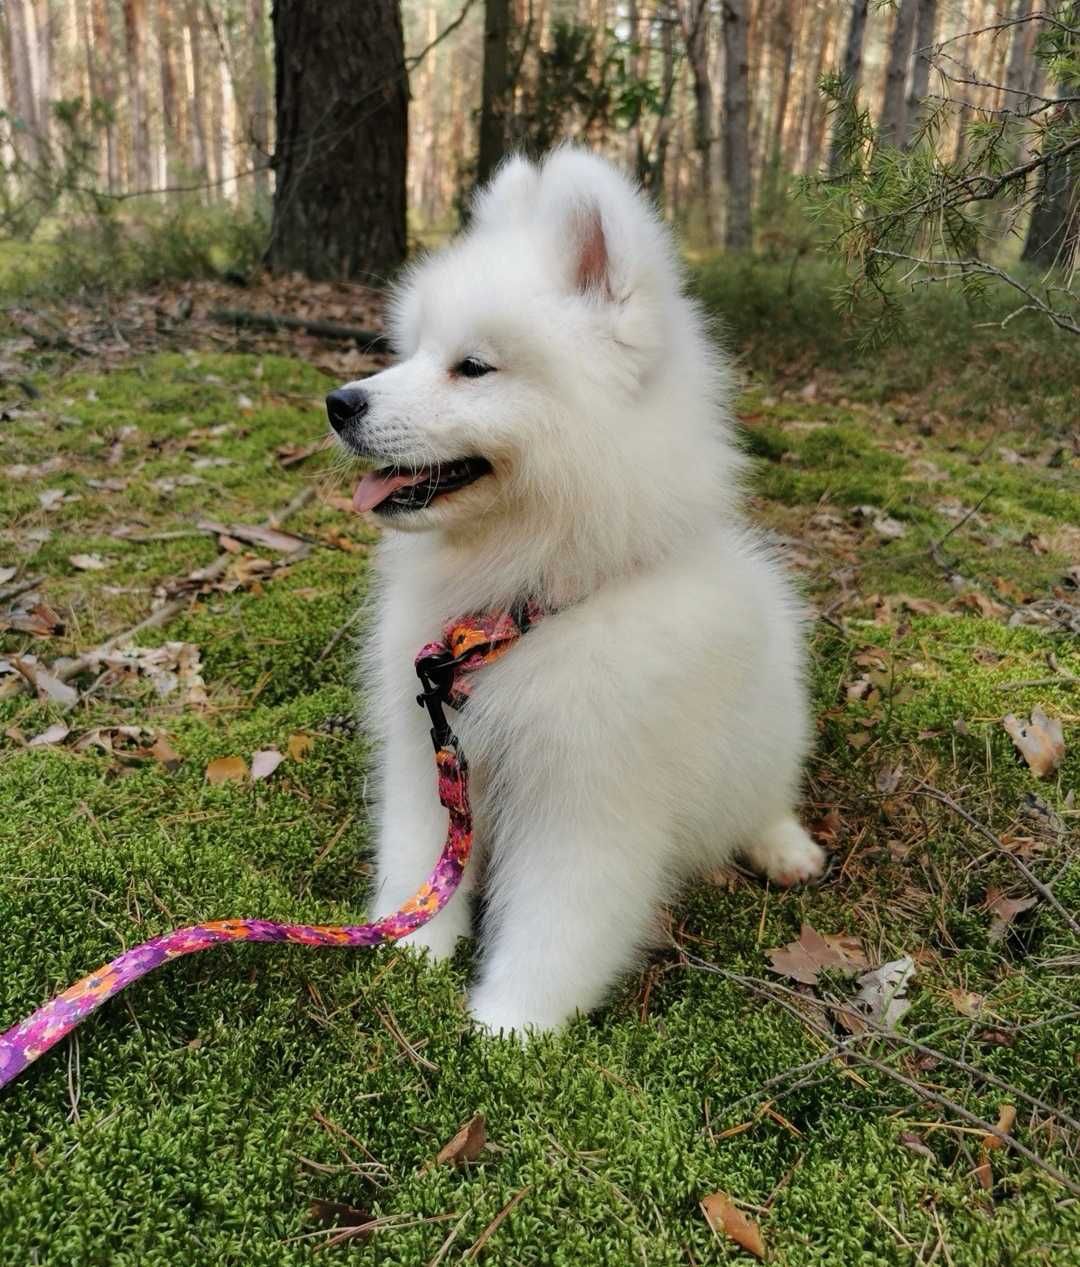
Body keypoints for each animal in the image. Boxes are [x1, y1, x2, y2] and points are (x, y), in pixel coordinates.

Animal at [324, 150, 821, 1038]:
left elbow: (557, 926)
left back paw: (784, 847)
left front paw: (506, 1029)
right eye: (411, 350)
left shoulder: (589, 800)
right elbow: (422, 863)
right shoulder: (433, 759)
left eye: (473, 366)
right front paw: (411, 953)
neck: (523, 610)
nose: (340, 403)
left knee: (766, 797)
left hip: (771, 732)